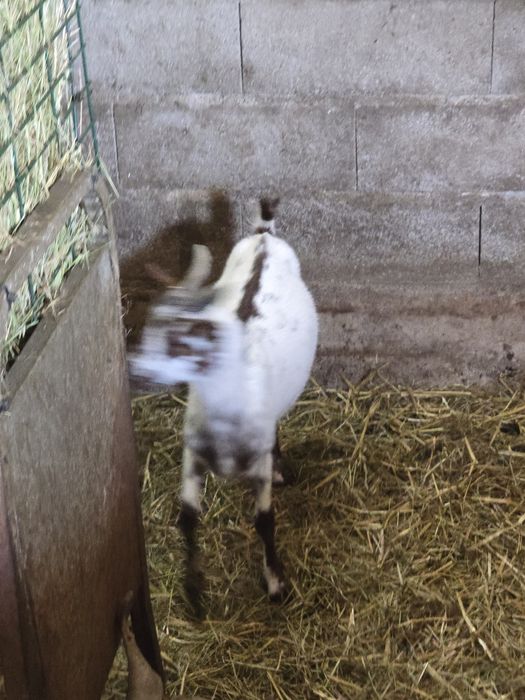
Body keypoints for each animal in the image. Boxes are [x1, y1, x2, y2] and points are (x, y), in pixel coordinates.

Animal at [129, 199, 318, 614]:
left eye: (183, 340)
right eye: (150, 327)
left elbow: (264, 520)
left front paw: (275, 583)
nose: (136, 370)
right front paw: (194, 593)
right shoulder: (193, 456)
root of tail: (264, 237)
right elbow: (187, 518)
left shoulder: (256, 465)